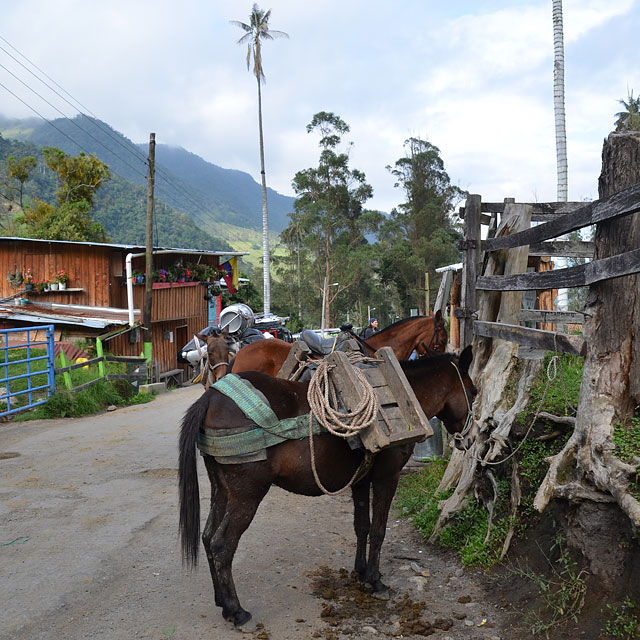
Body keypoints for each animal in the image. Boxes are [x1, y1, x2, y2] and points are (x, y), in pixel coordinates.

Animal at [180, 348, 476, 628]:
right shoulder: (387, 477)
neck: (400, 397)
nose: (471, 439)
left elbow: (362, 526)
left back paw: (222, 602)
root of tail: (211, 397)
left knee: (207, 537)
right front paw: (376, 582)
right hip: (247, 495)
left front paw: (361, 573)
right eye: (473, 392)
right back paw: (236, 611)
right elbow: (379, 530)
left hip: (222, 489)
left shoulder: (361, 479)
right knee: (222, 545)